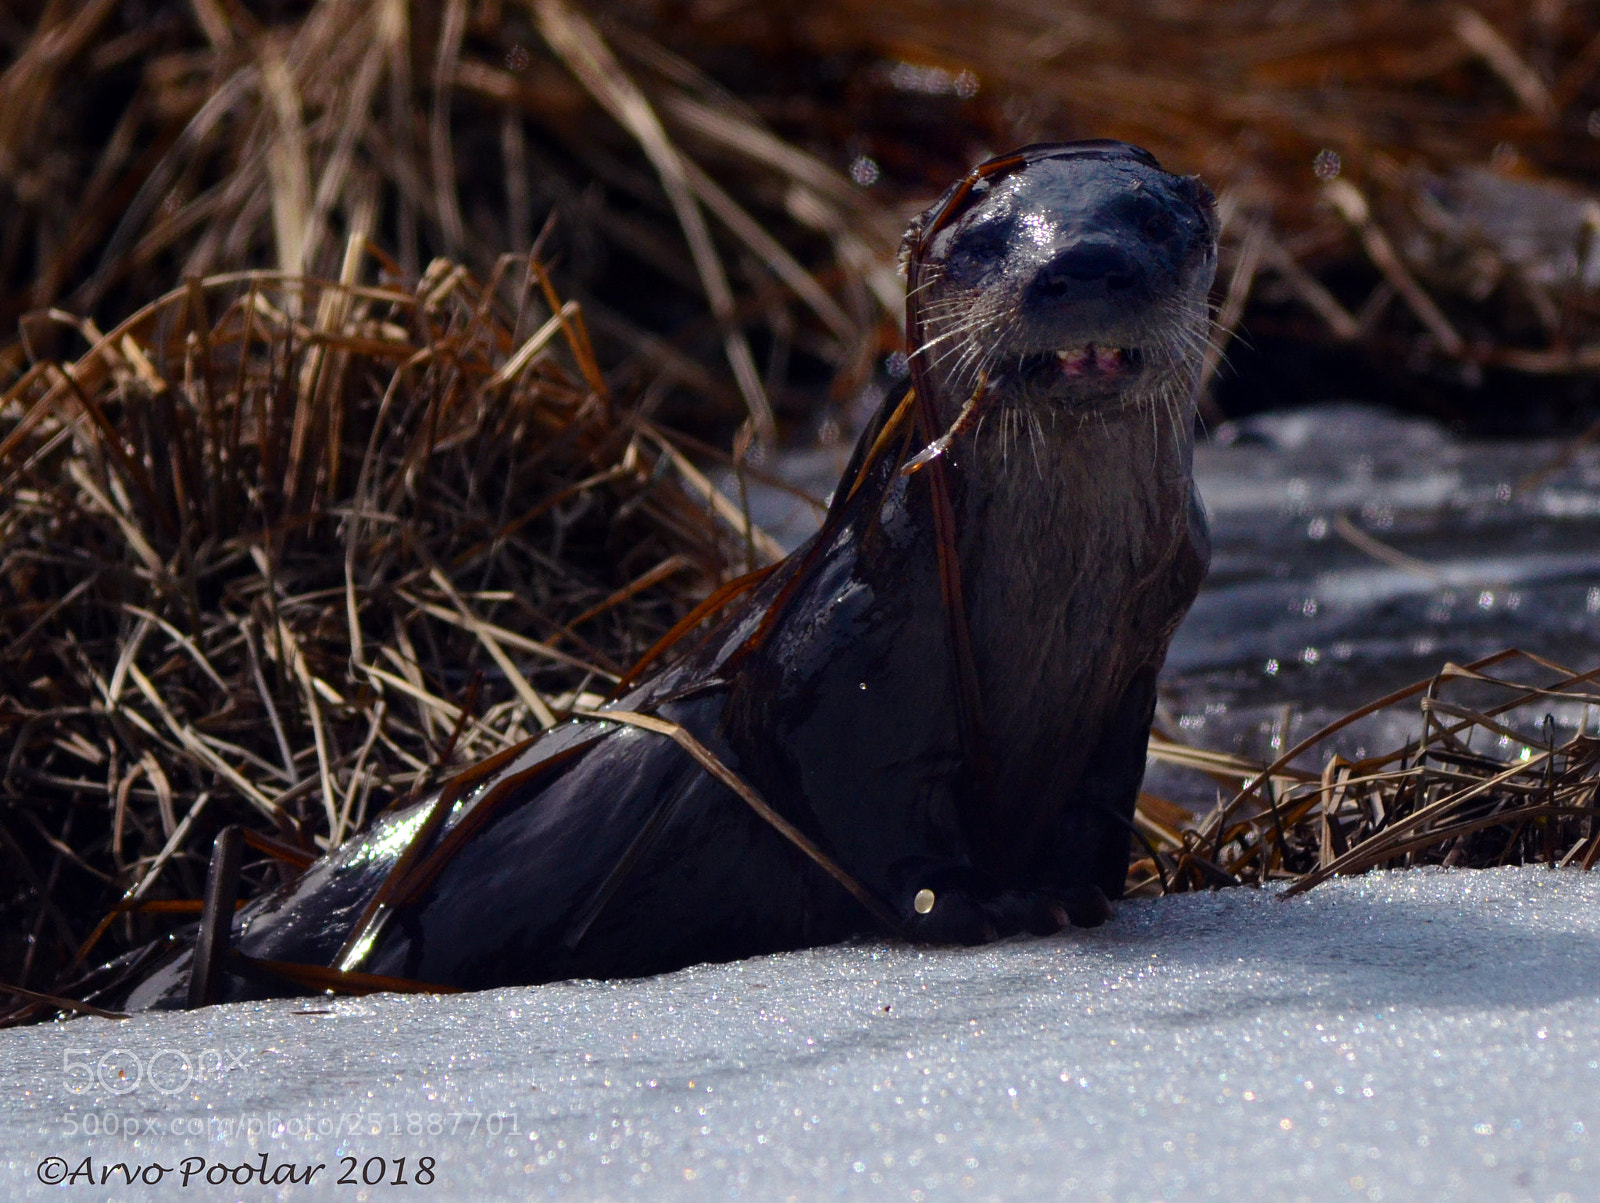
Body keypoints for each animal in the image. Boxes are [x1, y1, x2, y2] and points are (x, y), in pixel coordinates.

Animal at [112, 140, 1217, 1009]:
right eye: (981, 240)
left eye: (1152, 216)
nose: (1084, 262)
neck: (1043, 609)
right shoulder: (838, 659)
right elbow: (863, 807)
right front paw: (981, 902)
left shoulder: (1127, 678)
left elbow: (1097, 802)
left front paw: (1077, 889)